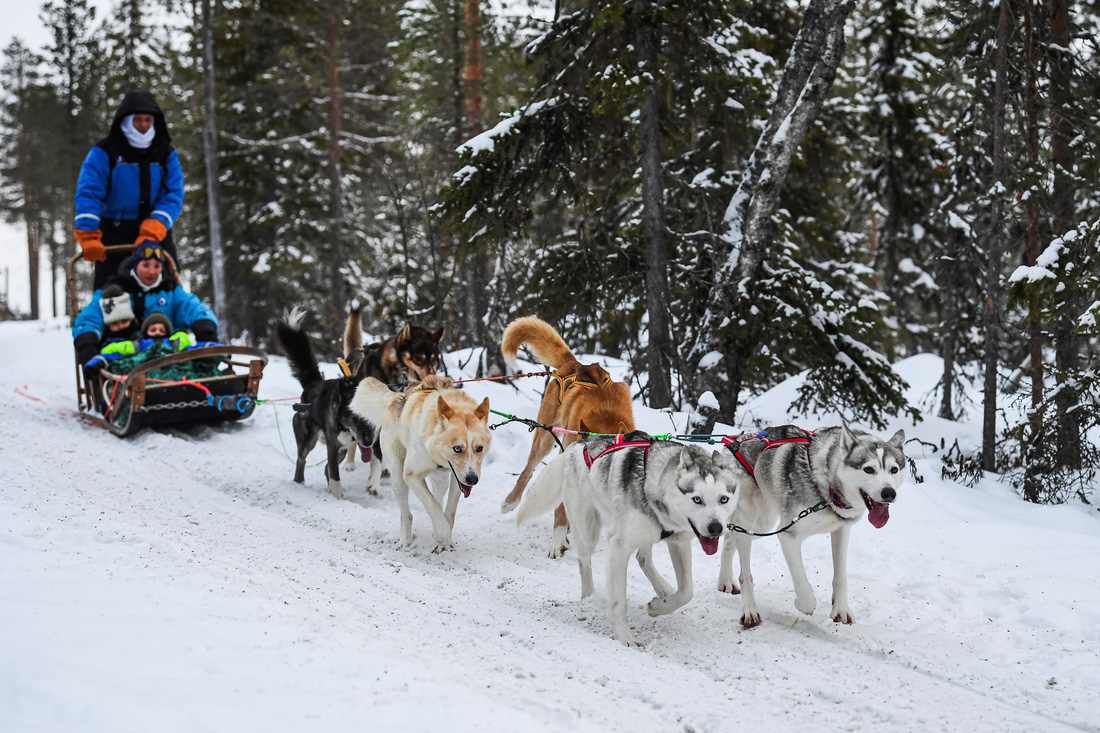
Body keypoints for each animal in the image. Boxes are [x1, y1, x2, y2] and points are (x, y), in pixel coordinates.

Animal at [275, 305, 382, 499]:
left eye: (370, 418)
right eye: (354, 419)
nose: (367, 442)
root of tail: (314, 383)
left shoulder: (373, 440)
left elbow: (376, 462)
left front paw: (372, 484)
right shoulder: (333, 446)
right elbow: (335, 475)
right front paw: (337, 496)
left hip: (342, 449)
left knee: (325, 468)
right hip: (309, 440)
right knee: (302, 459)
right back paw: (300, 482)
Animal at [352, 374, 490, 550]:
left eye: (479, 448)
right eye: (457, 448)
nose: (472, 479)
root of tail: (395, 397)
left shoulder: (457, 479)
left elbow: (449, 510)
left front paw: (443, 535)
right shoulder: (411, 476)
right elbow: (432, 504)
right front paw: (443, 532)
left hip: (441, 480)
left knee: (438, 496)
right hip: (398, 479)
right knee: (407, 514)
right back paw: (406, 539)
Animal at [499, 312, 638, 554]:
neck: (605, 420)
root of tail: (576, 365)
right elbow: (561, 512)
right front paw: (558, 539)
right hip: (545, 438)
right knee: (527, 471)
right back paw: (512, 501)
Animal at [517, 431, 748, 642]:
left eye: (724, 499)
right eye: (697, 499)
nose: (716, 527)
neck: (655, 486)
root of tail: (579, 444)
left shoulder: (679, 542)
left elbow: (686, 592)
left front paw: (658, 607)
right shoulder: (618, 548)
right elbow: (618, 602)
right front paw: (625, 638)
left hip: (646, 534)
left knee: (643, 558)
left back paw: (663, 588)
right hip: (588, 531)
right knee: (584, 561)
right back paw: (589, 595)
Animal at [717, 424, 906, 625]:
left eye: (894, 469)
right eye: (869, 469)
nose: (889, 493)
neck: (828, 489)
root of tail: (735, 440)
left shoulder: (841, 530)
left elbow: (840, 576)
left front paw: (841, 609)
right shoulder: (788, 535)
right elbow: (801, 579)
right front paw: (805, 604)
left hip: (762, 524)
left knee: (729, 540)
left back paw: (725, 581)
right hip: (754, 520)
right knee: (745, 574)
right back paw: (749, 610)